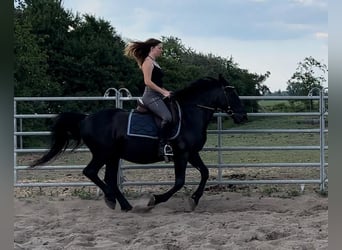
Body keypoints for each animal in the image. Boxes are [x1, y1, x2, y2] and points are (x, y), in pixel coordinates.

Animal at [30, 74, 247, 211]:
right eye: (232, 93)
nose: (242, 116)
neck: (189, 115)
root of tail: (85, 119)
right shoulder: (181, 154)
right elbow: (179, 182)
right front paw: (155, 199)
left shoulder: (192, 153)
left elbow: (205, 173)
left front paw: (194, 199)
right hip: (103, 153)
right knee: (90, 172)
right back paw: (112, 199)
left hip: (113, 156)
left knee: (108, 178)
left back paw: (124, 204)